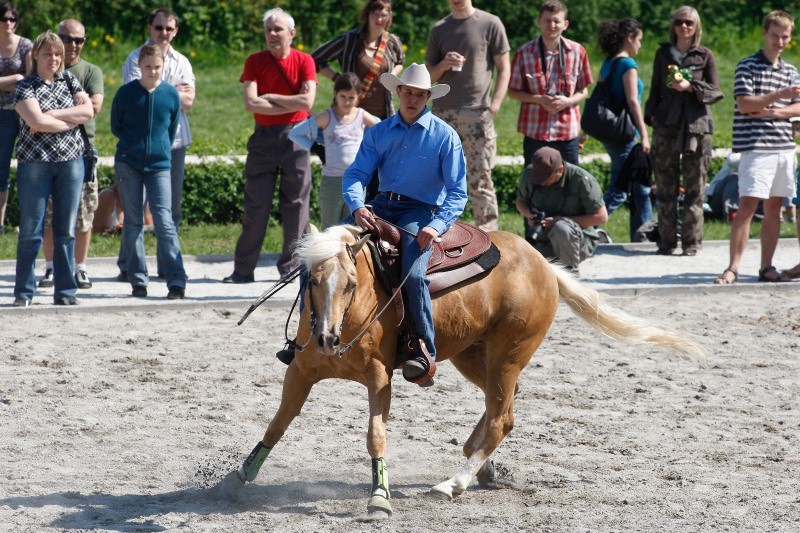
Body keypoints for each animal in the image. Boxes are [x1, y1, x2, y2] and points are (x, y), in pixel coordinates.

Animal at [236, 223, 700, 516]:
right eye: (311, 280)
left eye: (350, 284)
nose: (328, 340)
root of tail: (544, 264)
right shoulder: (300, 372)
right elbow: (278, 423)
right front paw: (239, 477)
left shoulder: (379, 379)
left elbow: (375, 435)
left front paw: (379, 498)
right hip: (473, 356)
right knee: (503, 408)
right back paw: (482, 466)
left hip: (507, 356)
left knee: (501, 419)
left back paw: (454, 482)